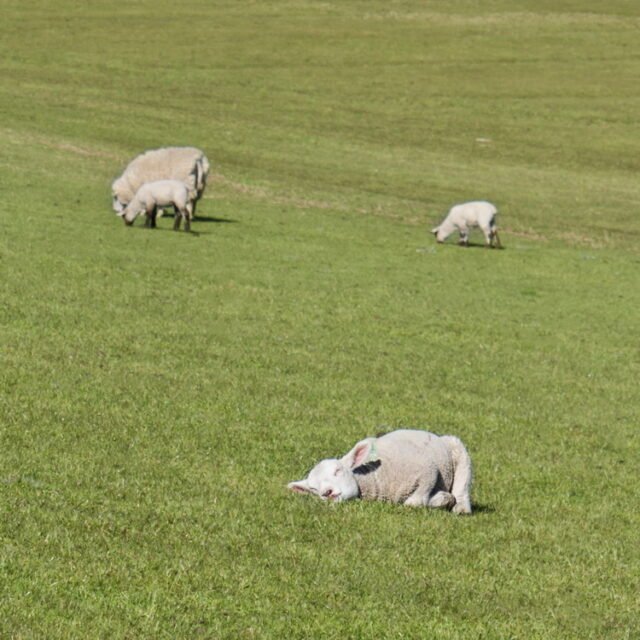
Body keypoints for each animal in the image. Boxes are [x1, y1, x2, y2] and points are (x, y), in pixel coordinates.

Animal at [288, 429, 473, 514]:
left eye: (338, 470)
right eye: (313, 489)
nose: (327, 492)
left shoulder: (428, 470)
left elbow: (413, 503)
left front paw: (442, 499)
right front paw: (442, 499)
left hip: (457, 450)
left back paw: (461, 507)